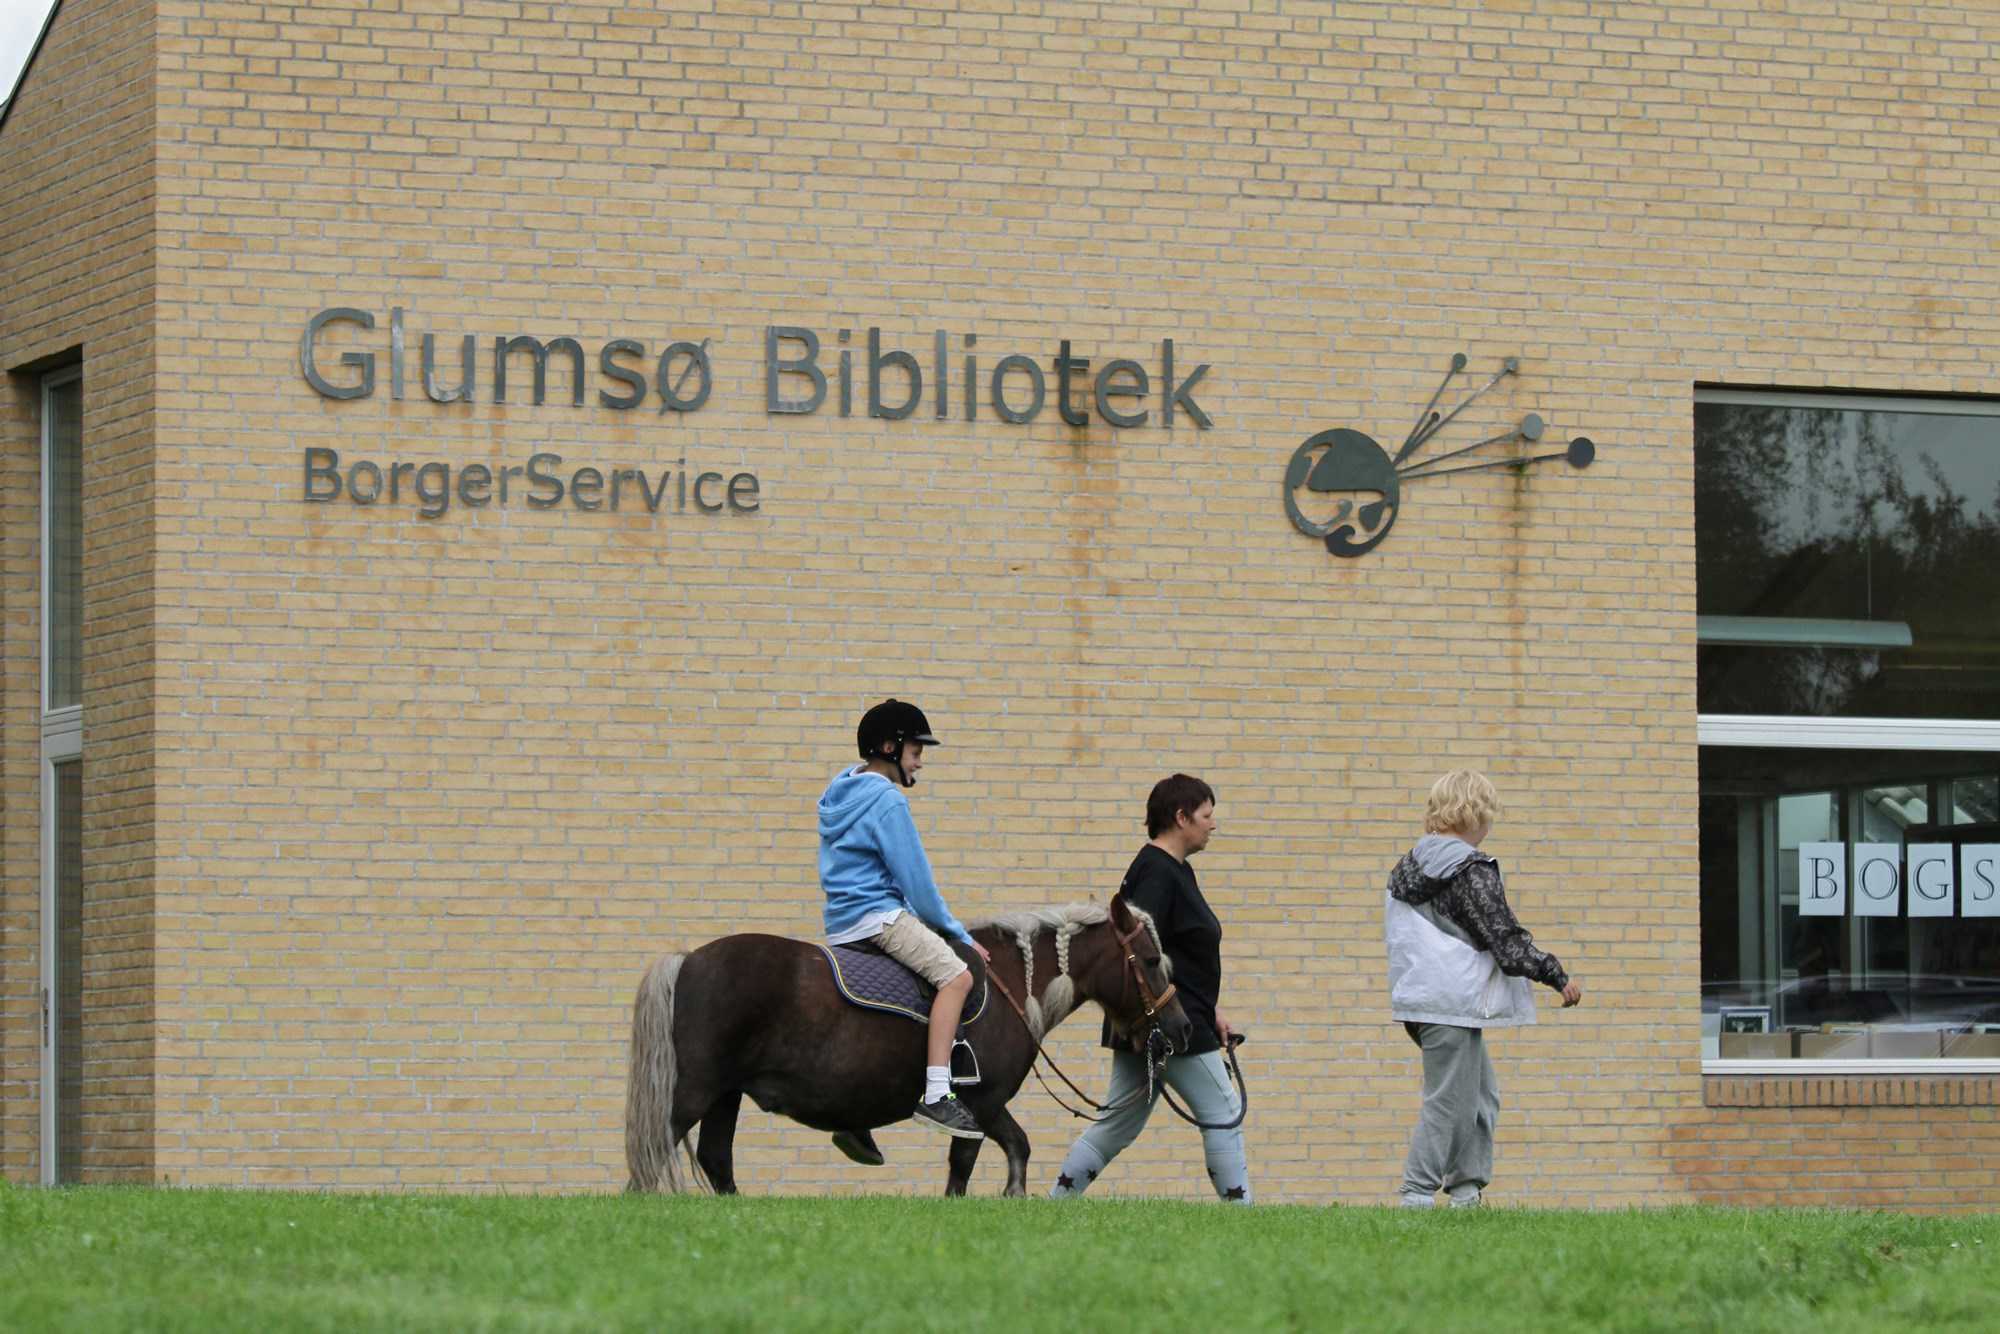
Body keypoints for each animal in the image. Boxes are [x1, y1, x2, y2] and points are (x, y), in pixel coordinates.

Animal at [624, 896, 1184, 1200]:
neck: (1009, 984)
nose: (1179, 1029)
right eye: (1150, 960)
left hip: (725, 1095)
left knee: (716, 1159)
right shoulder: (981, 1103)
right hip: (693, 1091)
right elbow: (979, 1161)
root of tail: (687, 961)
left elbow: (1005, 1151)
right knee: (651, 1156)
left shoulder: (986, 1108)